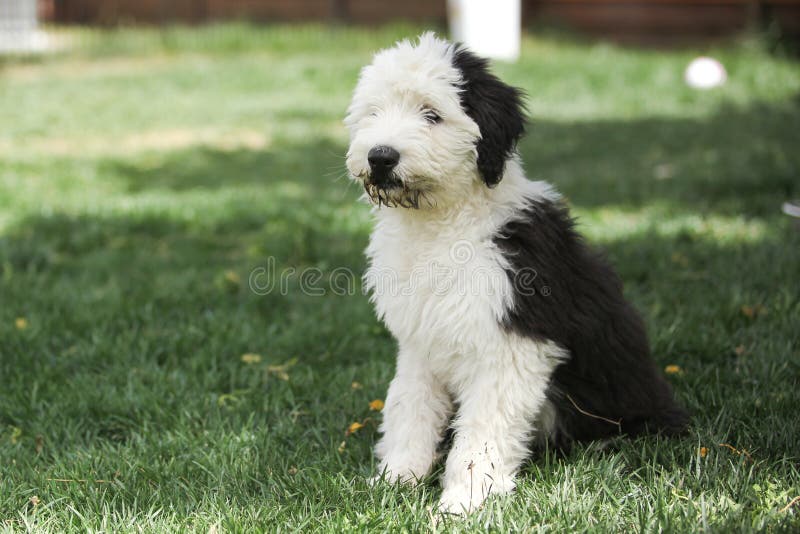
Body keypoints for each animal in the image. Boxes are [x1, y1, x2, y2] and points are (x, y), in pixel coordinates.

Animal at [344, 32, 688, 516]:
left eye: (432, 114)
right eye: (373, 113)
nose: (380, 157)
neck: (443, 223)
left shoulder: (511, 343)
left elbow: (483, 430)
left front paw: (464, 500)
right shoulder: (420, 342)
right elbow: (409, 407)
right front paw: (397, 479)